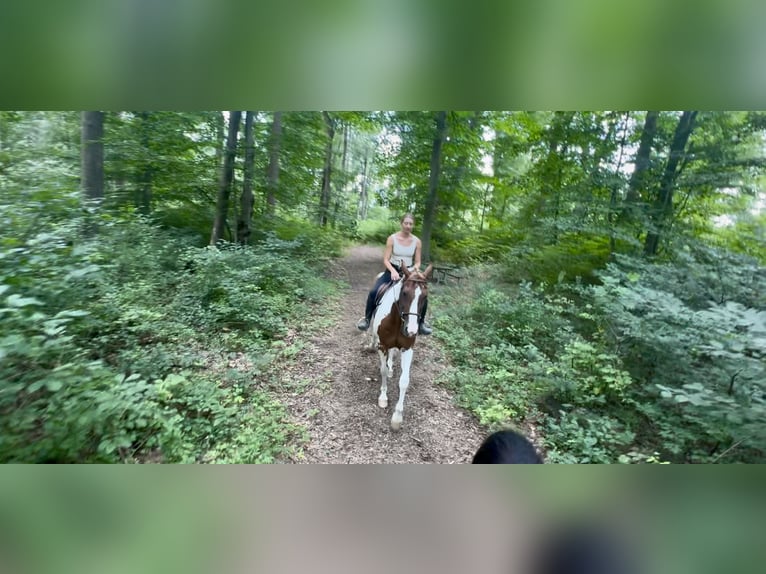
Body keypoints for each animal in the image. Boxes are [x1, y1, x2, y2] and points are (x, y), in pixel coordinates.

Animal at [368, 263, 433, 430]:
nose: (411, 330)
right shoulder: (382, 345)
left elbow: (404, 381)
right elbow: (382, 371)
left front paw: (397, 417)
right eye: (404, 293)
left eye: (425, 297)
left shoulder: (407, 349)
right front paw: (383, 398)